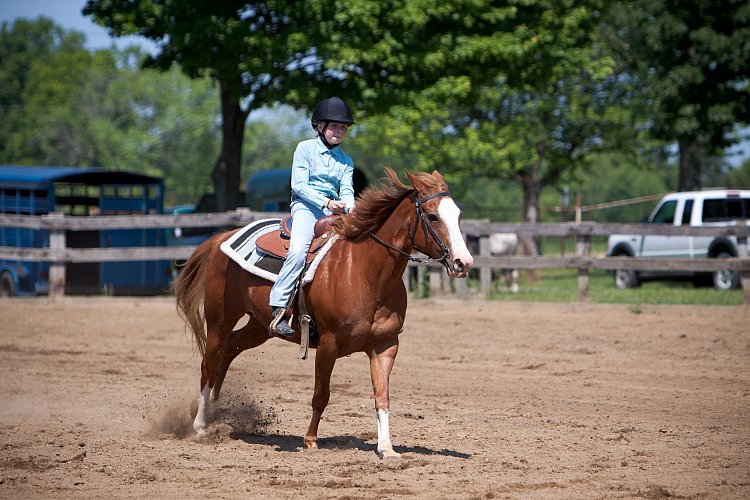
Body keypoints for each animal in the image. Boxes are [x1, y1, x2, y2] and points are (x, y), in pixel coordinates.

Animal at [173, 169, 472, 458]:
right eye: (433, 216)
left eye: (458, 214)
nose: (463, 262)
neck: (366, 272)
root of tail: (221, 238)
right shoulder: (329, 344)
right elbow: (321, 395)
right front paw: (310, 440)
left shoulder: (386, 345)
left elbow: (382, 396)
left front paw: (387, 448)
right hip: (220, 318)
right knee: (209, 364)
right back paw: (200, 425)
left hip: (259, 326)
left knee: (229, 350)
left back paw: (214, 412)